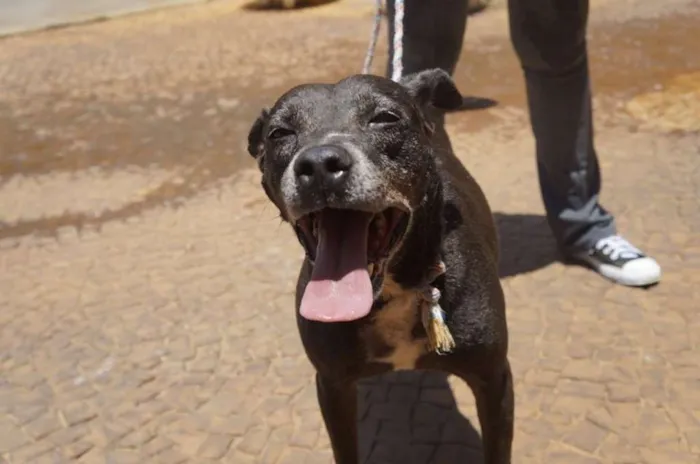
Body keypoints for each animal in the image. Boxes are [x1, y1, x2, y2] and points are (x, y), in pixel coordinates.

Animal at [249, 69, 512, 464]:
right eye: (279, 133)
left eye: (385, 118)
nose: (319, 164)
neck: (395, 292)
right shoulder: (333, 386)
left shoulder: (494, 380)